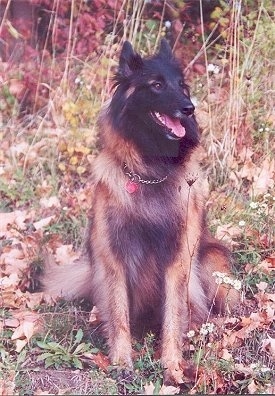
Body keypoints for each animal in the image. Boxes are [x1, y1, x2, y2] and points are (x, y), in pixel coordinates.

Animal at [42, 40, 239, 384]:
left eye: (182, 85)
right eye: (156, 85)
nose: (189, 108)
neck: (151, 170)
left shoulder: (178, 261)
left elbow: (173, 316)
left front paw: (171, 366)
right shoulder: (114, 259)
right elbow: (119, 315)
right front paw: (122, 362)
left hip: (215, 266)